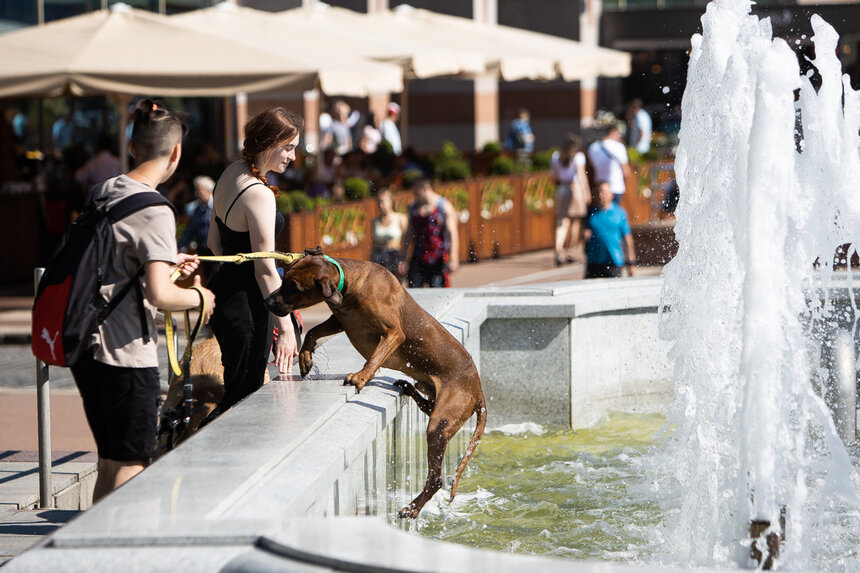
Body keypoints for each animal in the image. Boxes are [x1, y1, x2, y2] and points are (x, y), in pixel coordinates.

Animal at [266, 247, 488, 520]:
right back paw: (408, 388)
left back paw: (411, 508)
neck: (350, 286)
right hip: (439, 405)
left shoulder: (393, 332)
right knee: (427, 406)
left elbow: (375, 356)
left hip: (442, 421)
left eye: (293, 286)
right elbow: (312, 332)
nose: (267, 302)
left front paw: (361, 376)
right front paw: (306, 359)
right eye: (284, 277)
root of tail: (478, 390)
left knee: (436, 478)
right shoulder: (339, 320)